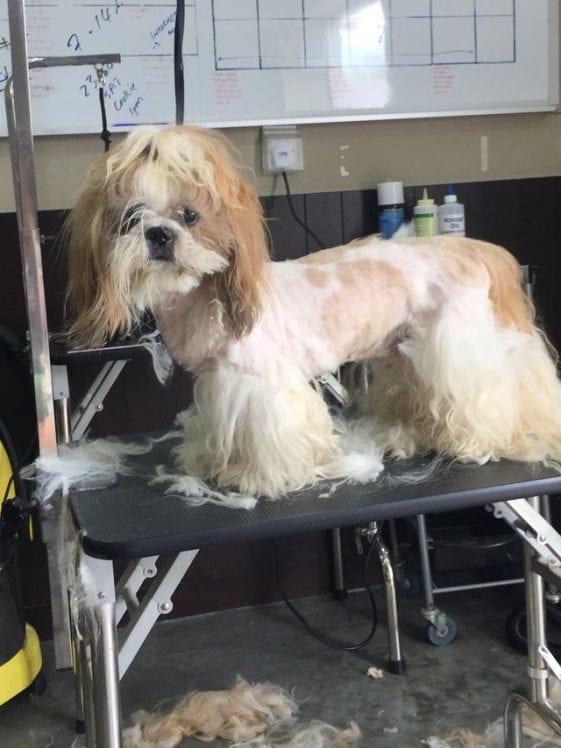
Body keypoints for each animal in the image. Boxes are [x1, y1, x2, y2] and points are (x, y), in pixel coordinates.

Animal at [63, 124, 560, 496]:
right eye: (131, 218)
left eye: (189, 216)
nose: (159, 234)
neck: (202, 300)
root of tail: (469, 248)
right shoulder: (216, 382)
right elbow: (214, 428)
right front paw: (206, 461)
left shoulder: (259, 385)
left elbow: (268, 437)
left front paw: (256, 478)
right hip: (405, 354)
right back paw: (406, 437)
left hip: (454, 347)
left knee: (489, 395)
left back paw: (480, 442)